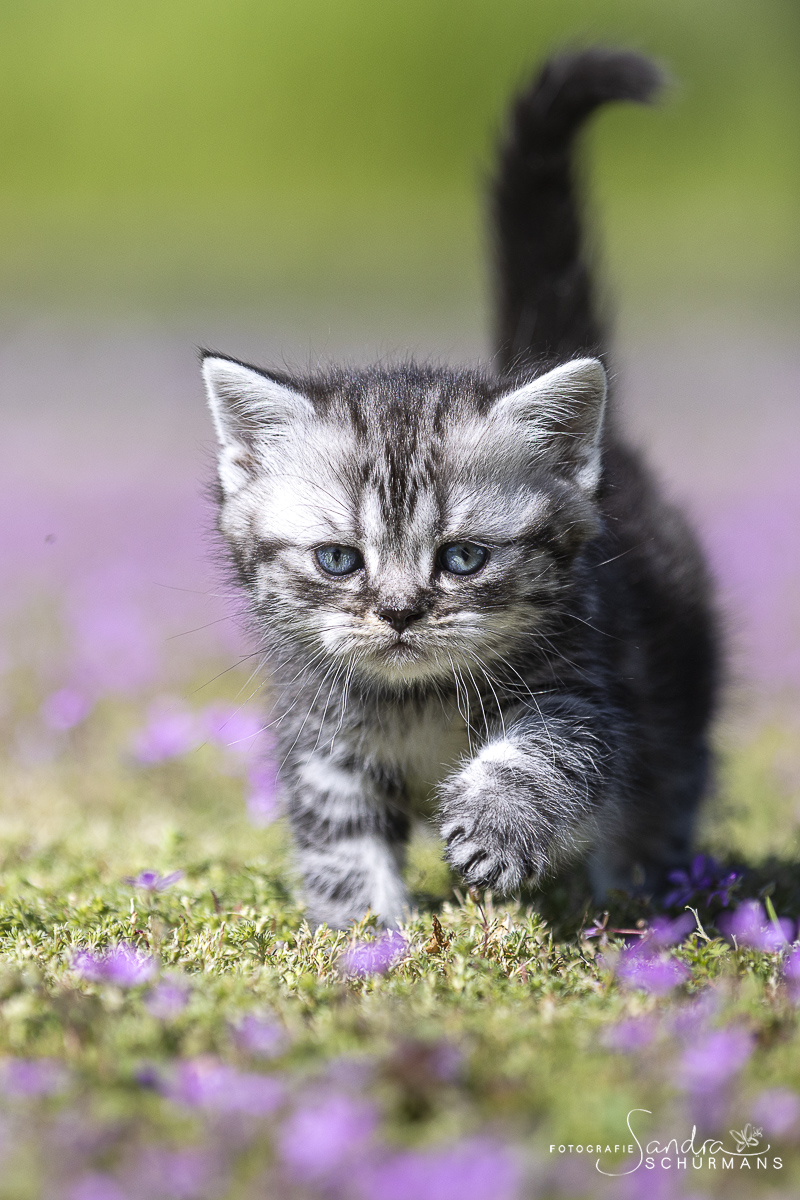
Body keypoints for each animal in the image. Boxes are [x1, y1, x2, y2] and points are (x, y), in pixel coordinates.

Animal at [203, 49, 724, 926]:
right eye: (339, 560)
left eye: (463, 558)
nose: (400, 612)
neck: (419, 701)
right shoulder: (321, 737)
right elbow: (342, 841)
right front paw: (367, 938)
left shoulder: (587, 687)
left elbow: (546, 754)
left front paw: (496, 828)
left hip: (676, 684)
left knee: (659, 797)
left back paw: (640, 901)